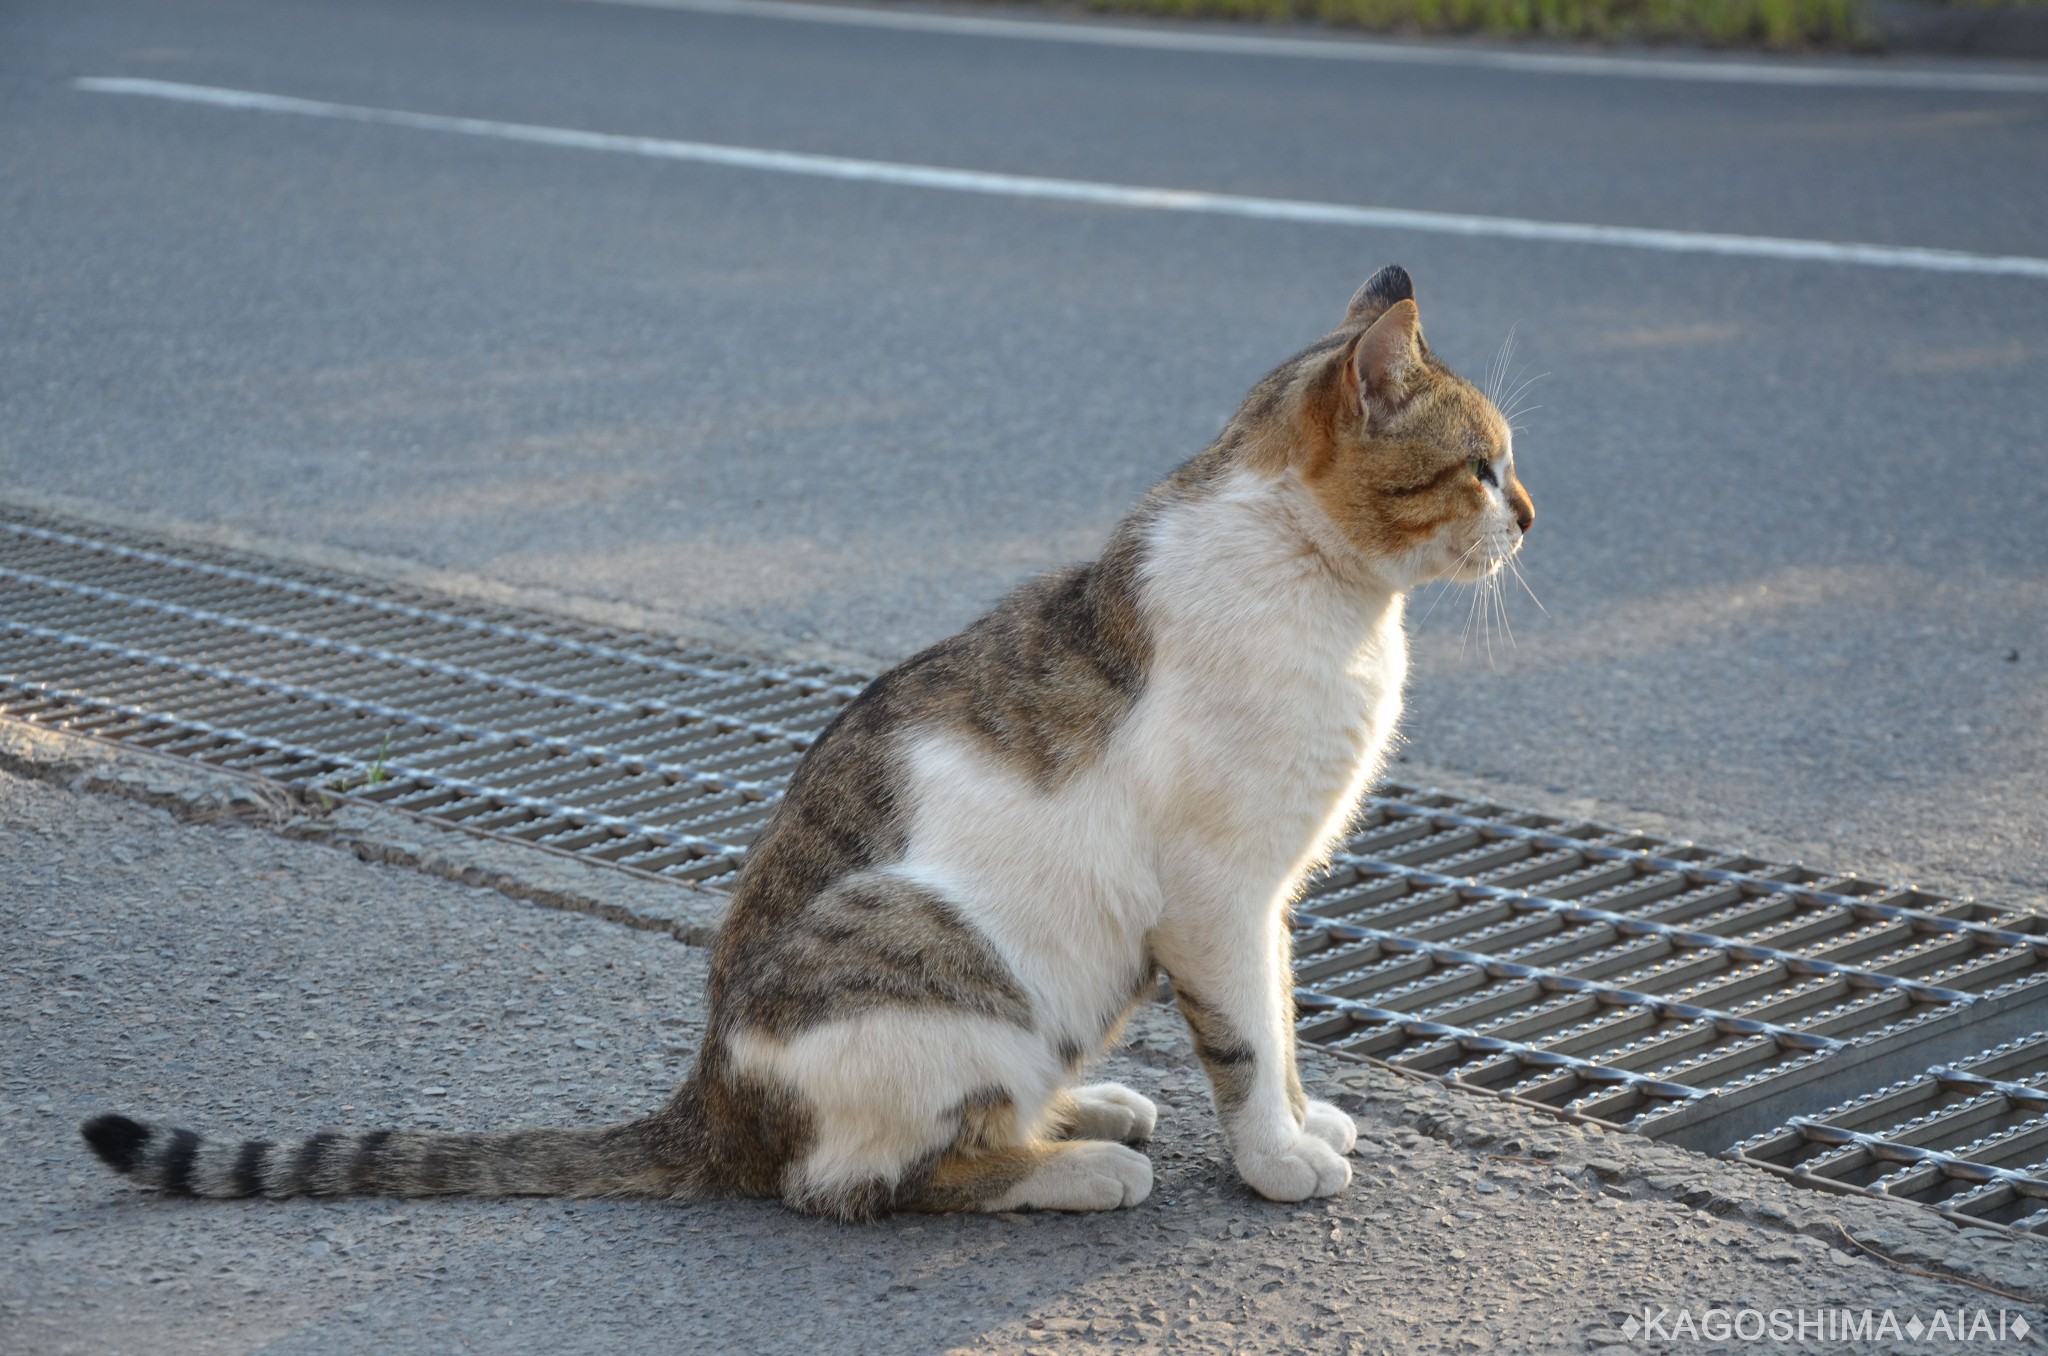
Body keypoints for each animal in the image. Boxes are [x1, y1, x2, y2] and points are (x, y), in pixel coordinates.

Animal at [83, 262, 1540, 1220]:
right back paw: (1082, 1164)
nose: (1531, 514)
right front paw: (1273, 1158)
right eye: (1480, 465)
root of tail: (710, 1100)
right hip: (939, 958)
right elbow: (1246, 1041)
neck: (1333, 597)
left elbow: (1282, 1024)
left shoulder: (1269, 900)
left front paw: (1297, 1116)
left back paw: (1092, 1107)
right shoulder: (1220, 896)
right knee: (878, 1180)